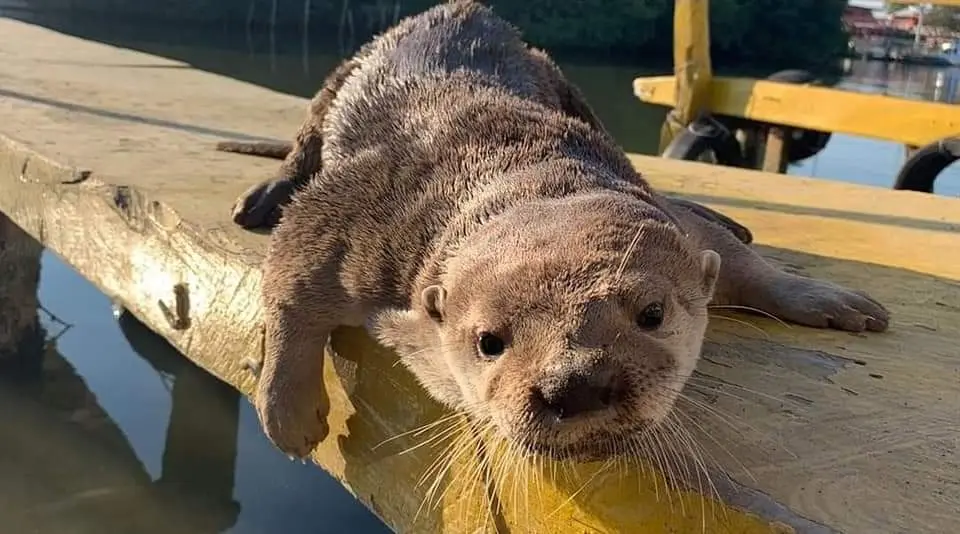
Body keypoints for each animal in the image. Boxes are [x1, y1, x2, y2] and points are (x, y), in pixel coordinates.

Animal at [221, 0, 888, 460]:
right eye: (487, 341)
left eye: (652, 313)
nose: (577, 383)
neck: (503, 162)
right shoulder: (358, 215)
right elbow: (290, 284)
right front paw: (287, 412)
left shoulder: (672, 222)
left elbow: (731, 258)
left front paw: (828, 300)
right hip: (344, 74)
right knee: (305, 143)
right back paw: (264, 197)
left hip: (562, 80)